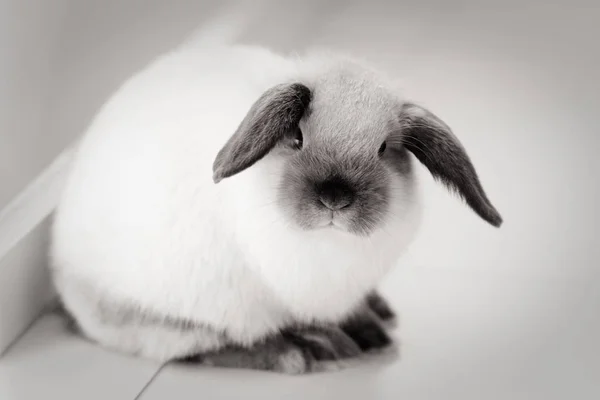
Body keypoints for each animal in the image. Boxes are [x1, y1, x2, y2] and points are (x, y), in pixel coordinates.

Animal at [50, 42, 502, 374]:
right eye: (297, 137)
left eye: (384, 149)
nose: (334, 197)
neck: (329, 244)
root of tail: (64, 281)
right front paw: (332, 338)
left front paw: (365, 324)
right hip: (174, 318)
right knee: (203, 347)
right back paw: (308, 351)